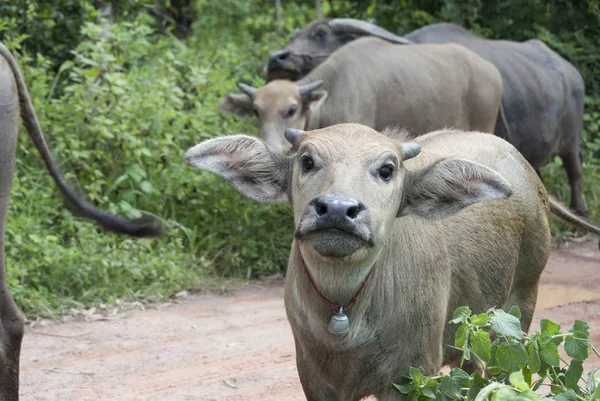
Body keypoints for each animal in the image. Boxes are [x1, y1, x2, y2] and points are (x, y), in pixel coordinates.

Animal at [186, 122, 600, 400]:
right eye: (307, 161)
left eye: (386, 169)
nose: (337, 209)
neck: (347, 316)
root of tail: (534, 182)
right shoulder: (315, 378)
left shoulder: (410, 375)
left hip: (519, 310)